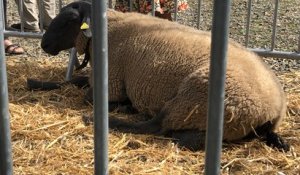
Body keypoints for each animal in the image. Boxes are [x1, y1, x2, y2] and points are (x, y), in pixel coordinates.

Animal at [40, 0, 290, 151]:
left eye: (69, 19)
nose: (43, 44)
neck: (110, 28)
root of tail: (275, 109)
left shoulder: (111, 82)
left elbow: (86, 95)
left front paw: (121, 106)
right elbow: (73, 81)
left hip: (193, 99)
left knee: (157, 127)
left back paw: (103, 117)